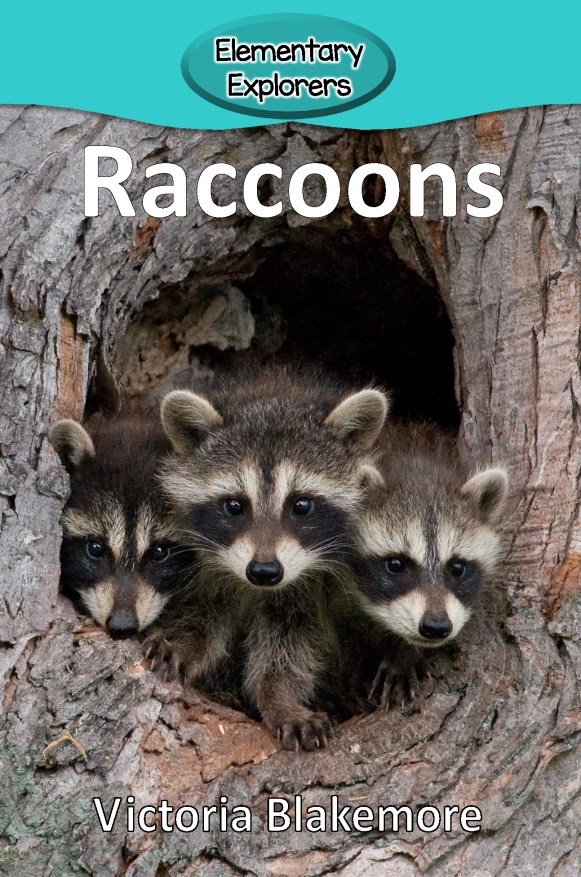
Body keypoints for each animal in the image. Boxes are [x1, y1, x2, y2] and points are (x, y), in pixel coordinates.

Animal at [156, 367, 389, 750]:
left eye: (302, 505)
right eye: (234, 506)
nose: (264, 571)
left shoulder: (308, 587)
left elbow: (289, 644)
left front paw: (278, 698)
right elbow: (203, 610)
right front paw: (187, 643)